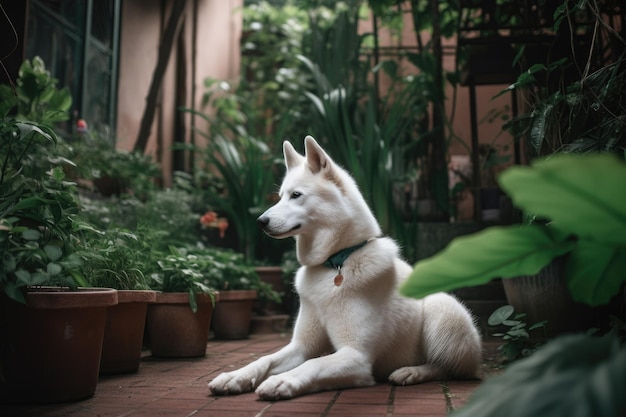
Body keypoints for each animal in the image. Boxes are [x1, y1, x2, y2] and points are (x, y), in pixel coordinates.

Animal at [207, 135, 480, 398]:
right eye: (281, 196)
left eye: (296, 195)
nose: (260, 221)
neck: (335, 263)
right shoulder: (301, 346)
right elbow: (266, 359)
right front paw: (235, 376)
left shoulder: (356, 355)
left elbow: (313, 364)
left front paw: (282, 381)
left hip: (441, 305)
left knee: (445, 367)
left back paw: (411, 372)